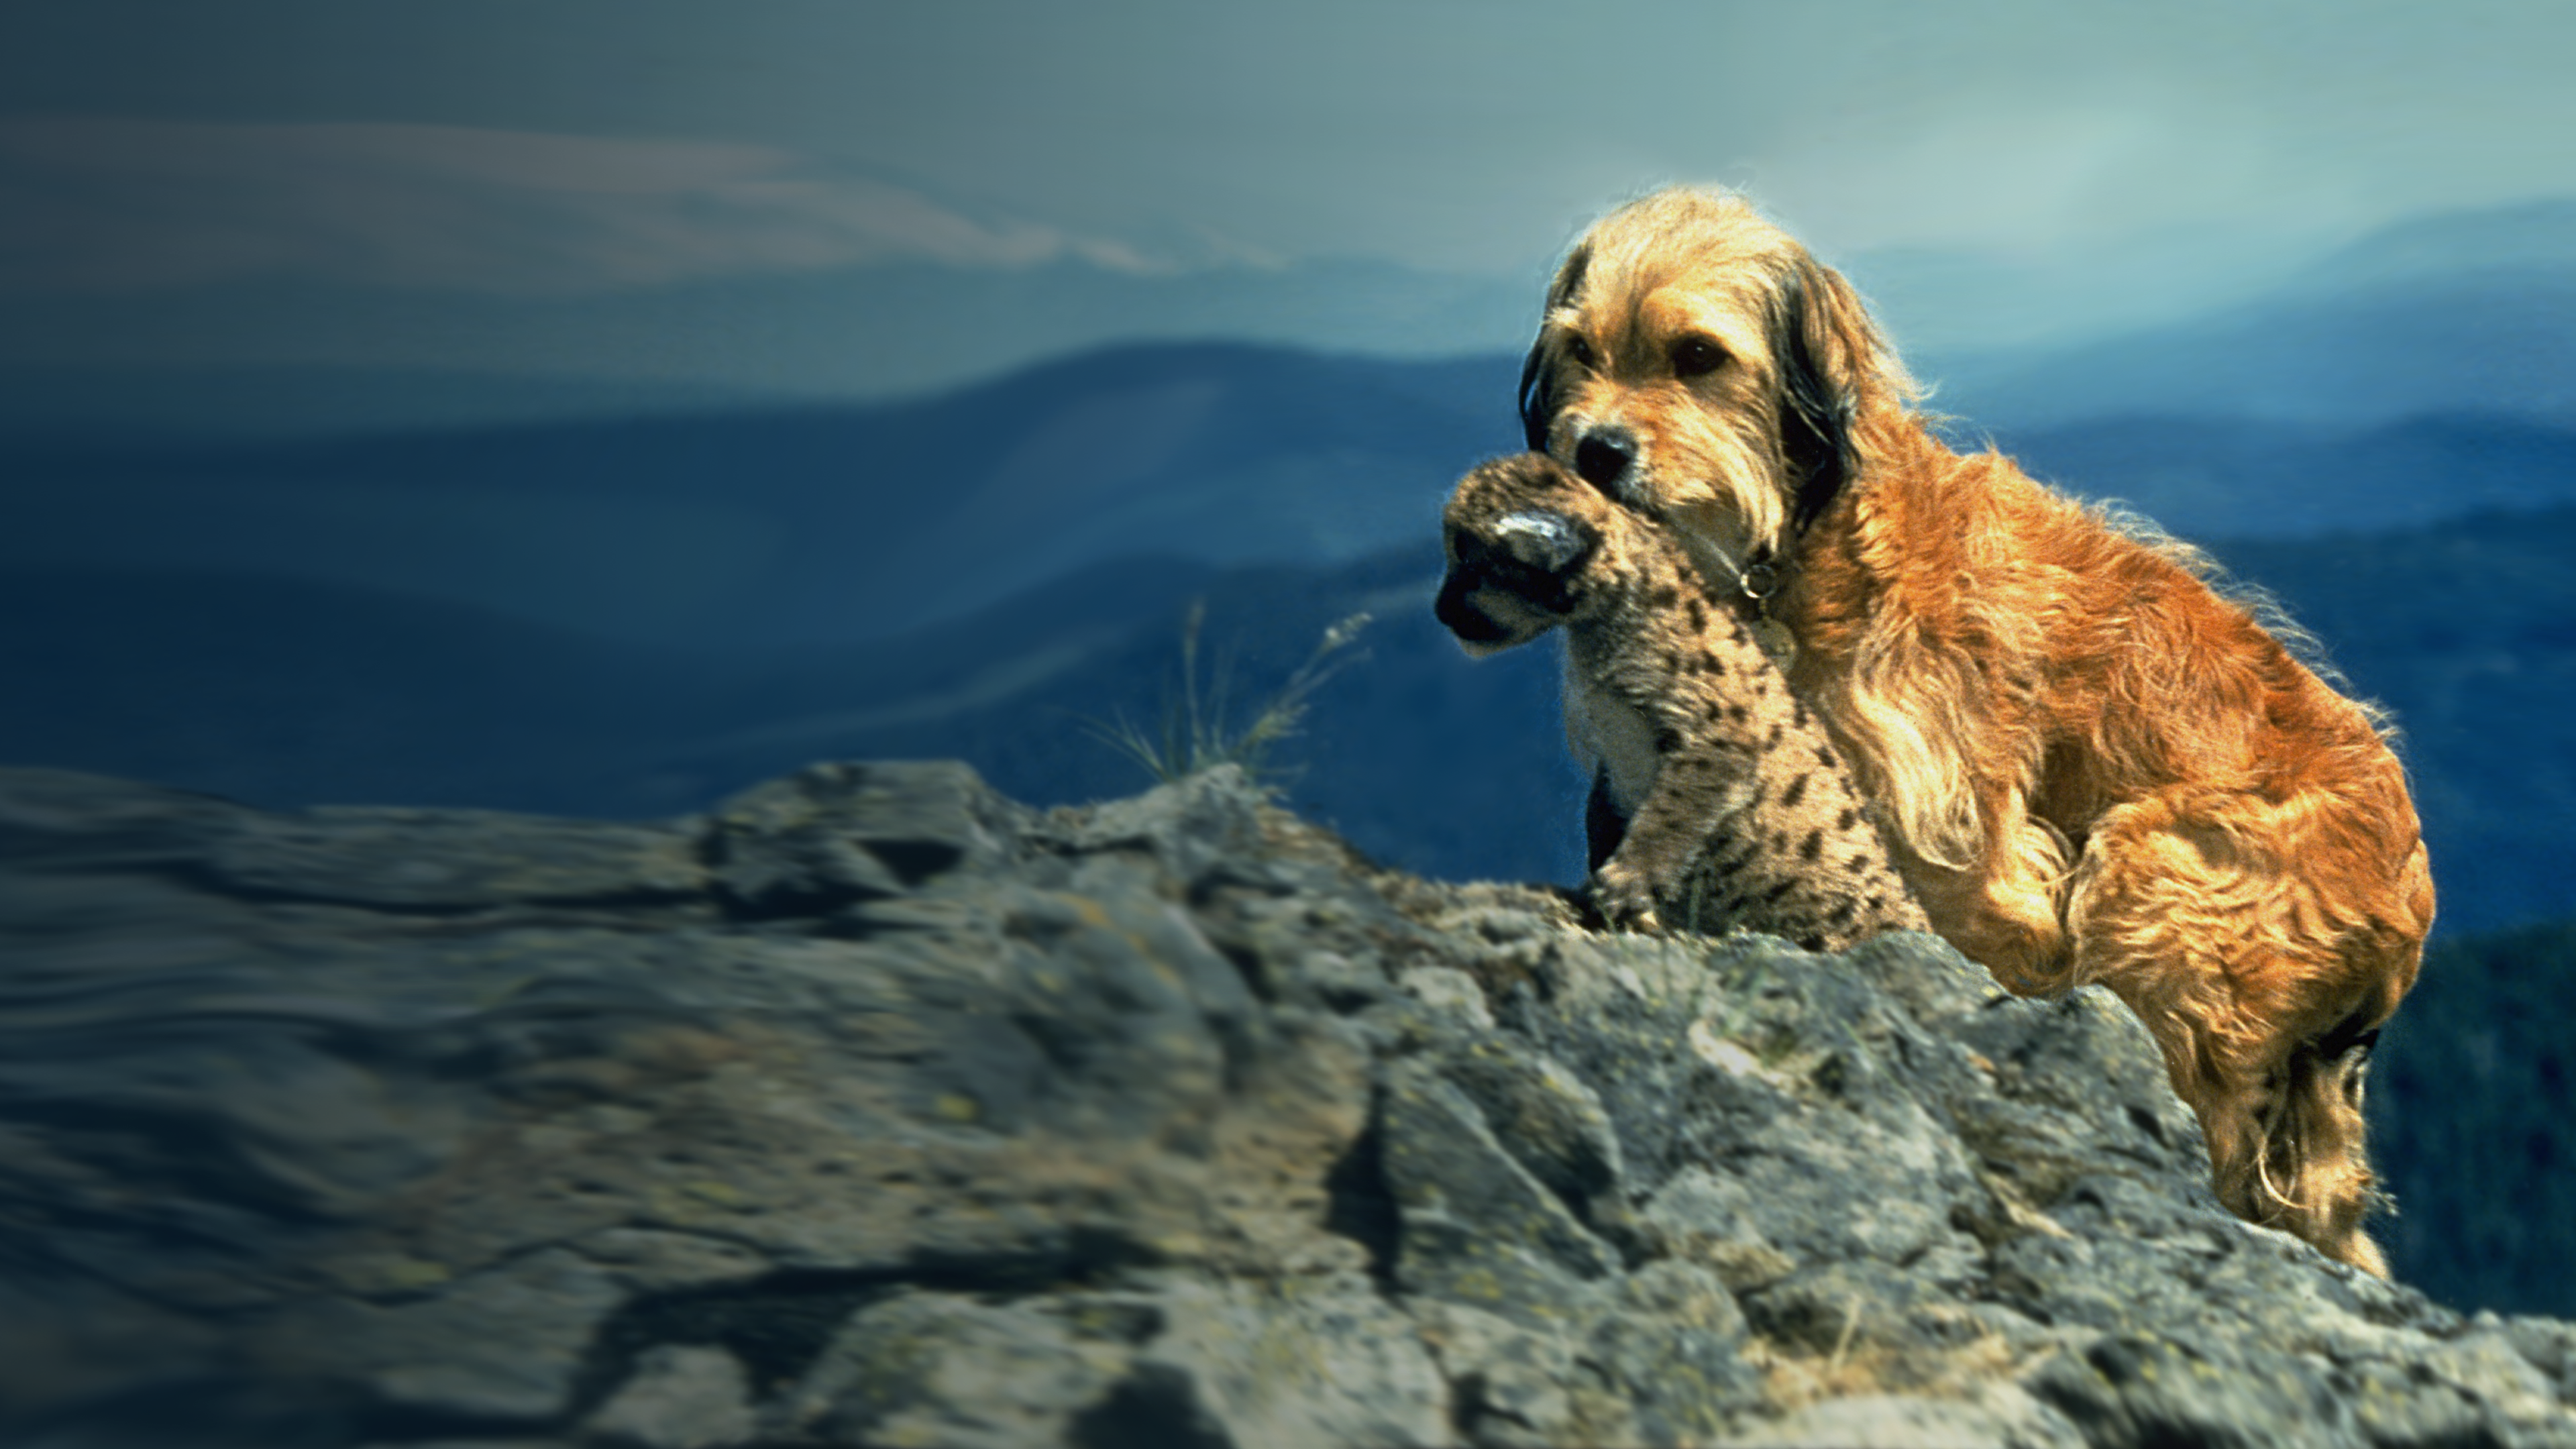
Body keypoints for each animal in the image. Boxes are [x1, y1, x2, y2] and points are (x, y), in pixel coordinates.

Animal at [1525, 185, 2431, 1268]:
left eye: (1697, 355)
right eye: (1580, 351)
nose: (1595, 450)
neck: (1798, 544)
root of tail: (2411, 901)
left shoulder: (1959, 841)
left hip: (2157, 878)